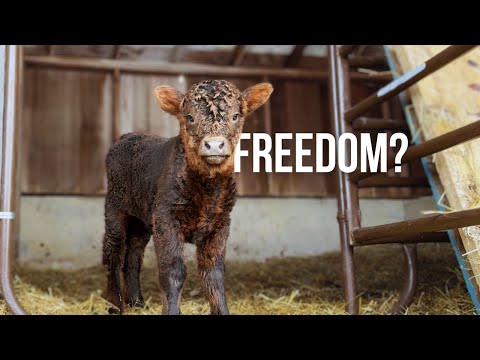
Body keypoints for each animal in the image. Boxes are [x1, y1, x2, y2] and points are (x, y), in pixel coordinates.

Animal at [101, 79, 274, 316]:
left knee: (134, 254)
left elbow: (214, 272)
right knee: (114, 251)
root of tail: (128, 136)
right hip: (115, 207)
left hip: (143, 218)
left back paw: (136, 302)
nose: (214, 144)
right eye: (189, 117)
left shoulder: (221, 223)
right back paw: (115, 304)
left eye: (236, 115)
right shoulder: (166, 218)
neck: (207, 190)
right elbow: (173, 270)